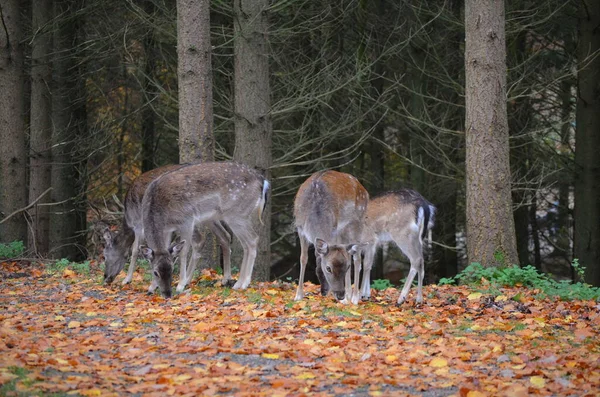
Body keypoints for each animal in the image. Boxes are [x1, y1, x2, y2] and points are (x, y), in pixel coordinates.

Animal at [102, 162, 231, 290]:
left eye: (105, 256)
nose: (106, 278)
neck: (129, 219)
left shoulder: (139, 224)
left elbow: (135, 250)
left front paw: (127, 279)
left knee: (199, 240)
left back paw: (187, 280)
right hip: (208, 216)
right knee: (224, 235)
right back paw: (220, 279)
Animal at [138, 161, 270, 296]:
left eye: (172, 270)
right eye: (155, 272)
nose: (167, 294)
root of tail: (263, 180)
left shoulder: (187, 220)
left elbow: (183, 252)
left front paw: (180, 285)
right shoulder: (168, 229)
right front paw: (151, 287)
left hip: (237, 214)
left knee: (253, 239)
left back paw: (244, 283)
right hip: (226, 216)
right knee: (237, 241)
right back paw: (235, 282)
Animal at [292, 170, 368, 304]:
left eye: (347, 267)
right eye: (328, 268)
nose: (340, 295)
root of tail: (363, 189)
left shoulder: (334, 229)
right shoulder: (300, 228)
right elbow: (303, 258)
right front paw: (298, 295)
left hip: (358, 221)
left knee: (357, 258)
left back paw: (354, 298)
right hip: (344, 231)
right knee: (350, 254)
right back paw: (349, 296)